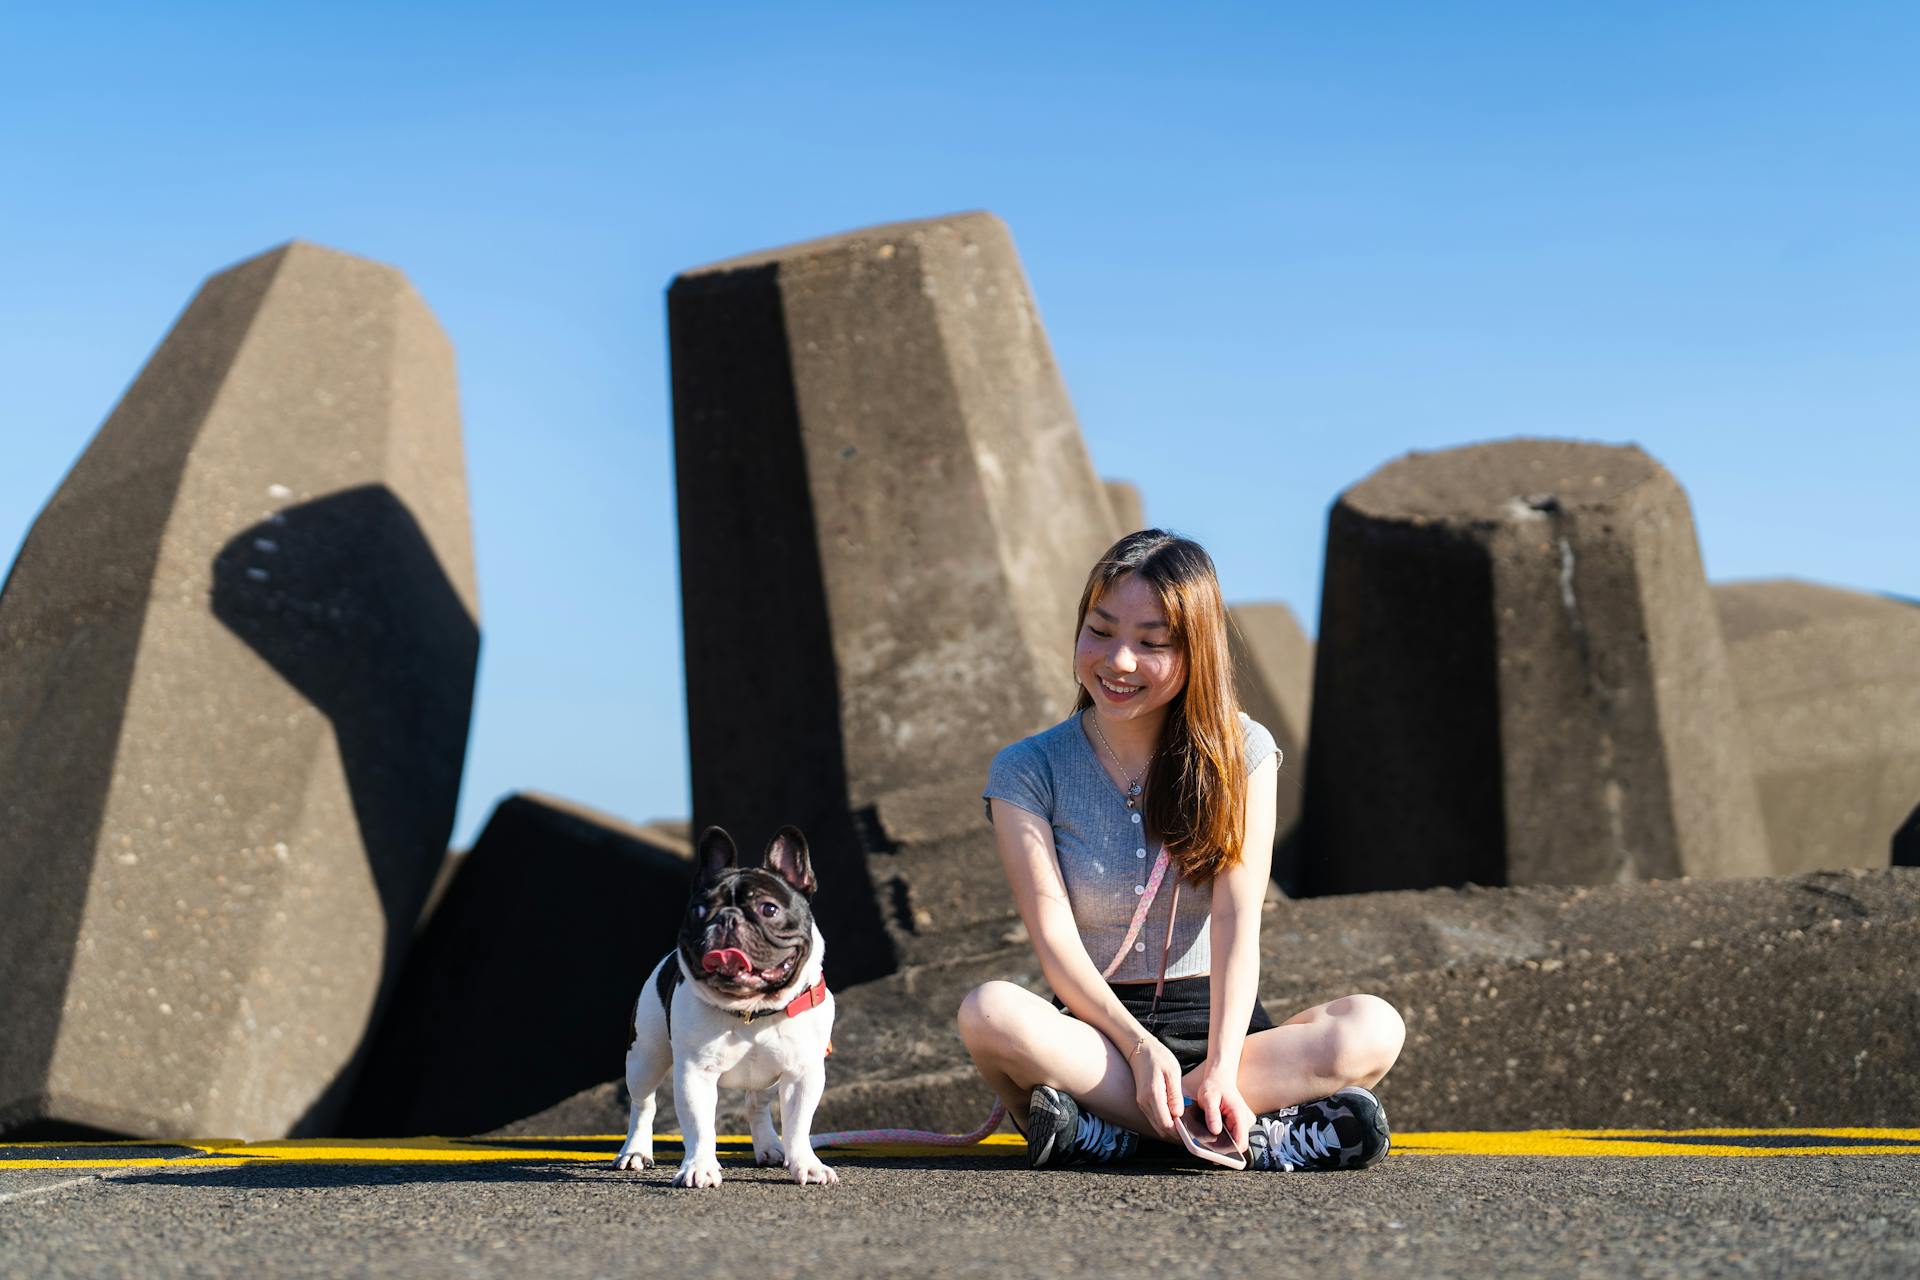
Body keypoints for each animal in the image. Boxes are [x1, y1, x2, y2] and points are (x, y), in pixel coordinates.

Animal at [606, 825, 833, 1189]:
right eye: (699, 911)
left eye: (769, 909)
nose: (726, 918)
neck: (753, 1010)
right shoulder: (695, 1074)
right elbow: (700, 1127)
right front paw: (699, 1167)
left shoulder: (802, 1074)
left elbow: (799, 1125)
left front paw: (807, 1166)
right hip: (644, 1058)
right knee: (643, 1104)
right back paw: (635, 1152)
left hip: (768, 1078)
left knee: (757, 1104)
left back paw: (770, 1148)